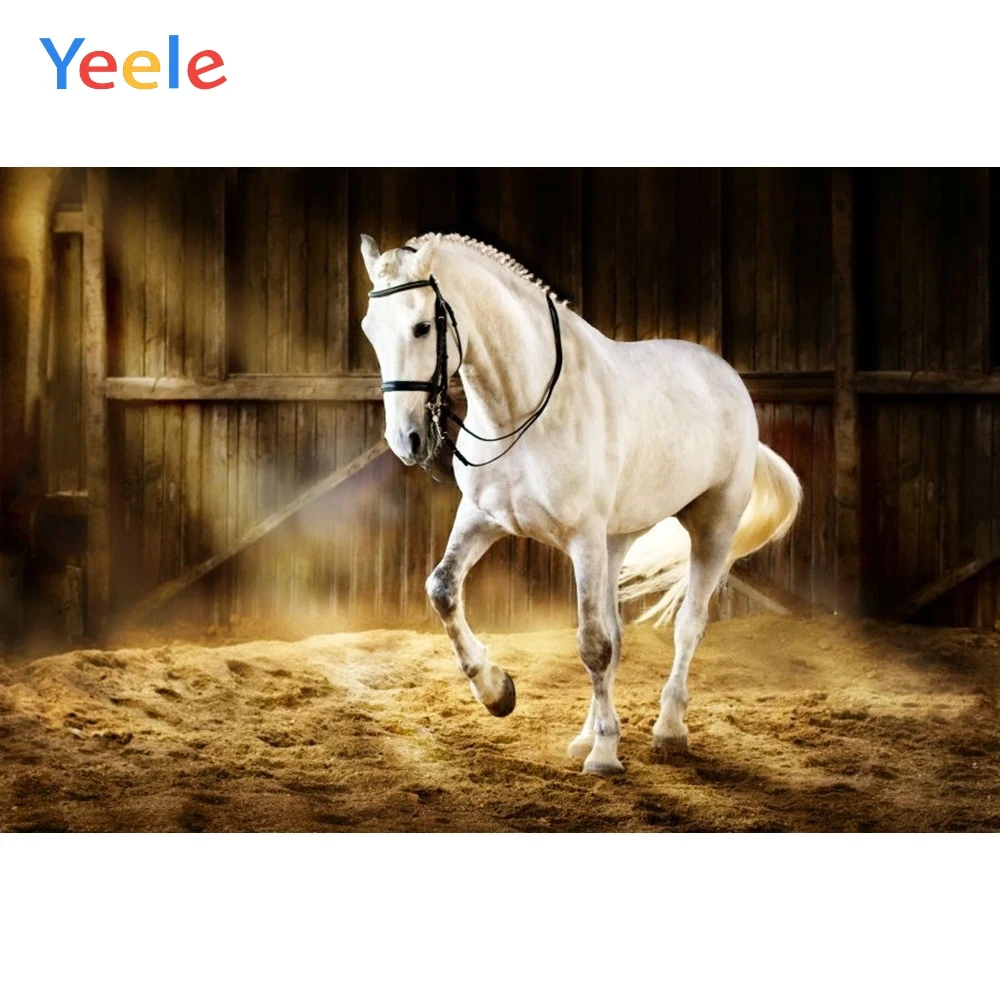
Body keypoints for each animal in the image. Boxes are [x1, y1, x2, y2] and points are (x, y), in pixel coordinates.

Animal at [359, 232, 802, 775]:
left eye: (422, 327)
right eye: (370, 330)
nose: (406, 440)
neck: (523, 410)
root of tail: (727, 376)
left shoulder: (583, 540)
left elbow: (593, 645)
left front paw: (606, 756)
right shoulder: (483, 519)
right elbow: (441, 589)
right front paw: (497, 693)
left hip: (711, 526)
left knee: (687, 626)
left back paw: (668, 729)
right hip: (617, 541)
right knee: (618, 633)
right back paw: (585, 735)